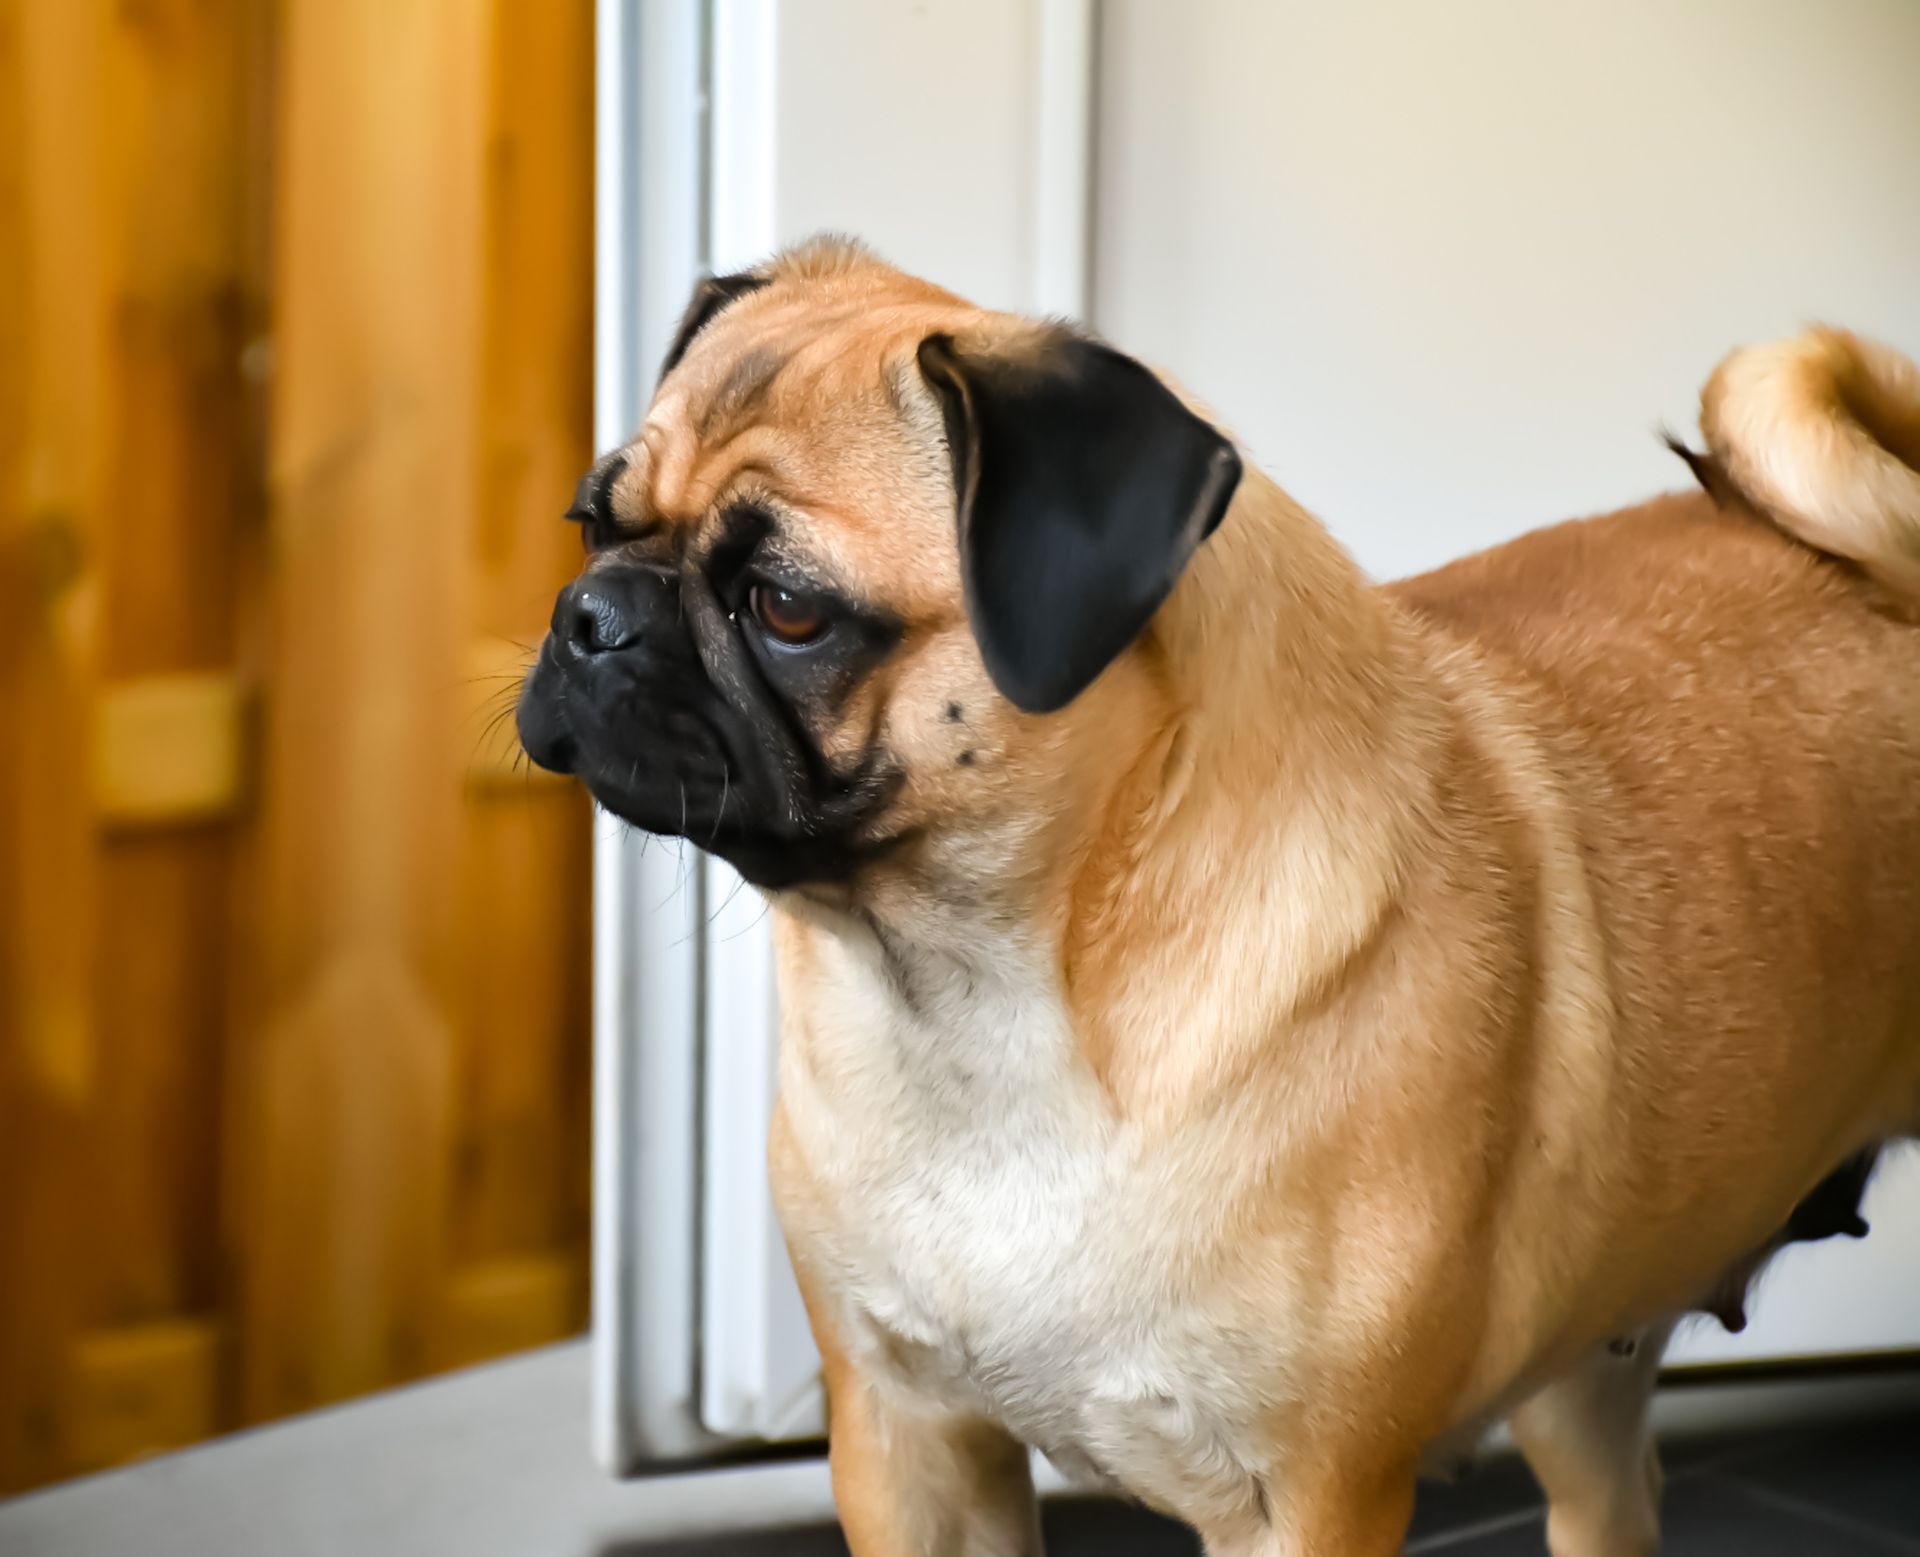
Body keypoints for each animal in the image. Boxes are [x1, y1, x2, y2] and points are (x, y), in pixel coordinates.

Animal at [518, 238, 1920, 1556]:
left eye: (789, 610)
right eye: (591, 526)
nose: (590, 616)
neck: (981, 991)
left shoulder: (1310, 1500)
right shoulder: (909, 1447)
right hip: (1582, 1385)